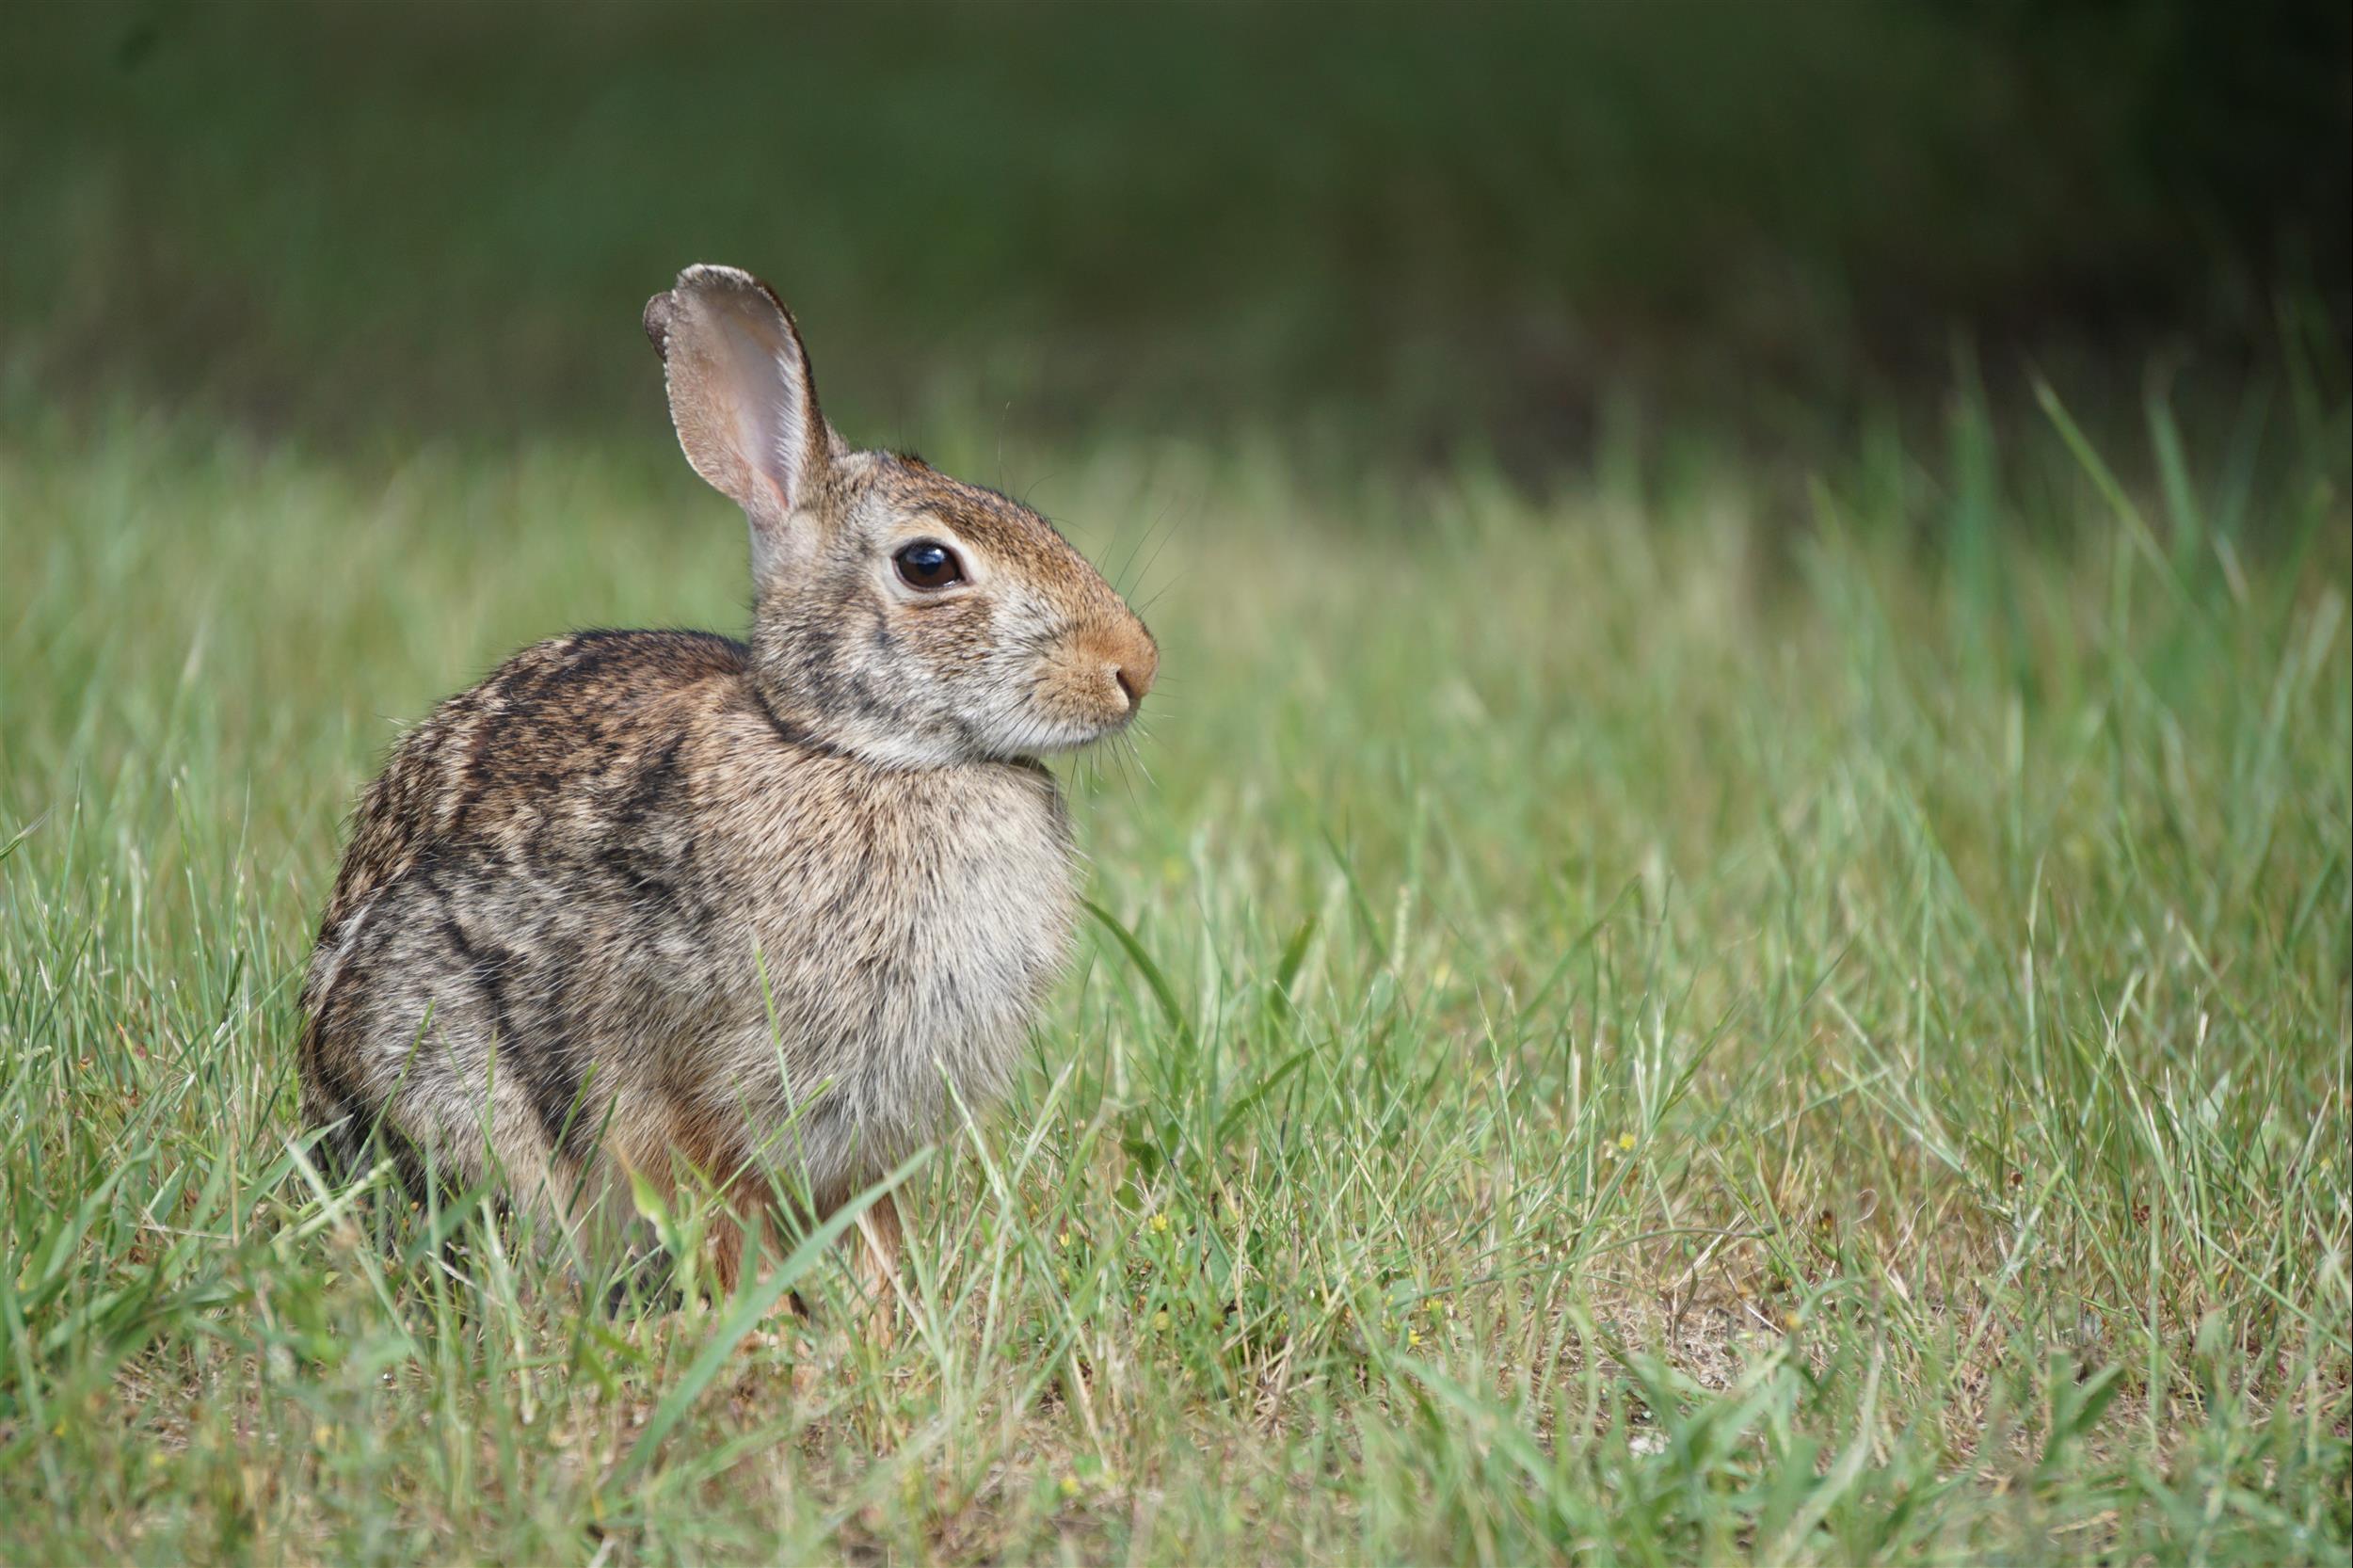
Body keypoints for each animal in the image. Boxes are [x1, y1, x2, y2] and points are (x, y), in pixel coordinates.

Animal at [294, 262, 1158, 1308]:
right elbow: (710, 1204)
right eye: (928, 564)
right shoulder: (678, 1077)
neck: (855, 752)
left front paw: (881, 1312)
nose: (1135, 666)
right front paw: (764, 1316)